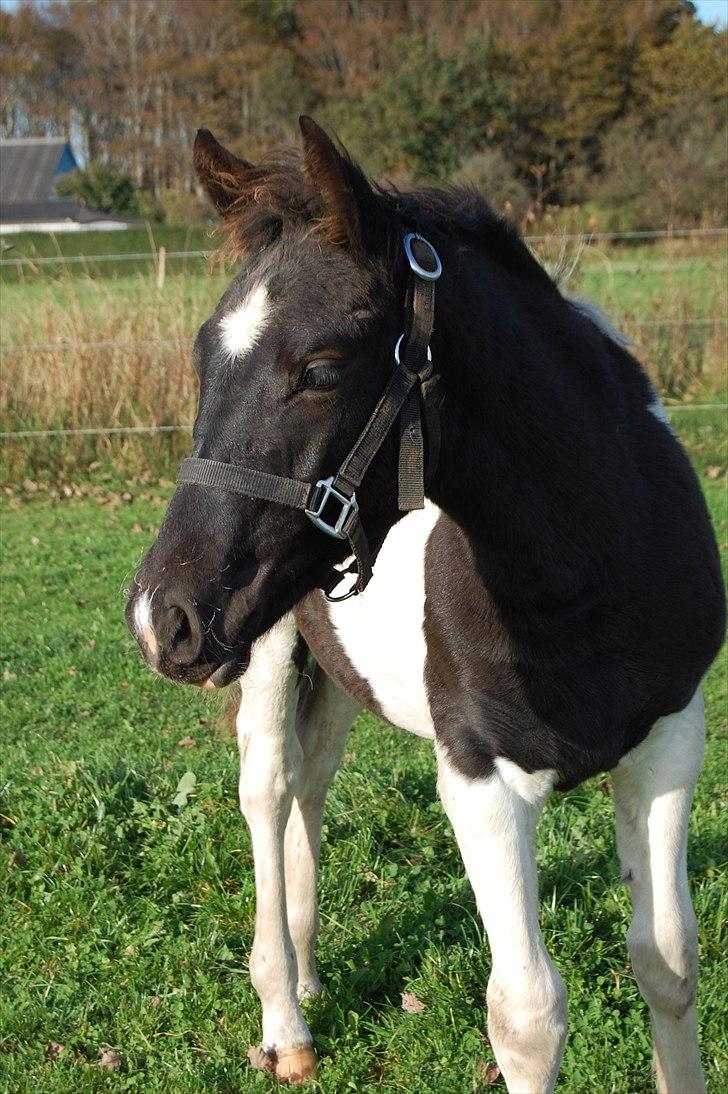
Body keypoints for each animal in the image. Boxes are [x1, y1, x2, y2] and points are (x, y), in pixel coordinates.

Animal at [126, 115, 722, 1089]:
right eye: (204, 354)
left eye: (321, 368)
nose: (159, 616)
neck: (583, 583)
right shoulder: (480, 781)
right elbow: (527, 1013)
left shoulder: (669, 745)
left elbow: (667, 962)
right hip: (264, 647)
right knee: (269, 792)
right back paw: (285, 1019)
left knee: (315, 780)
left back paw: (311, 972)